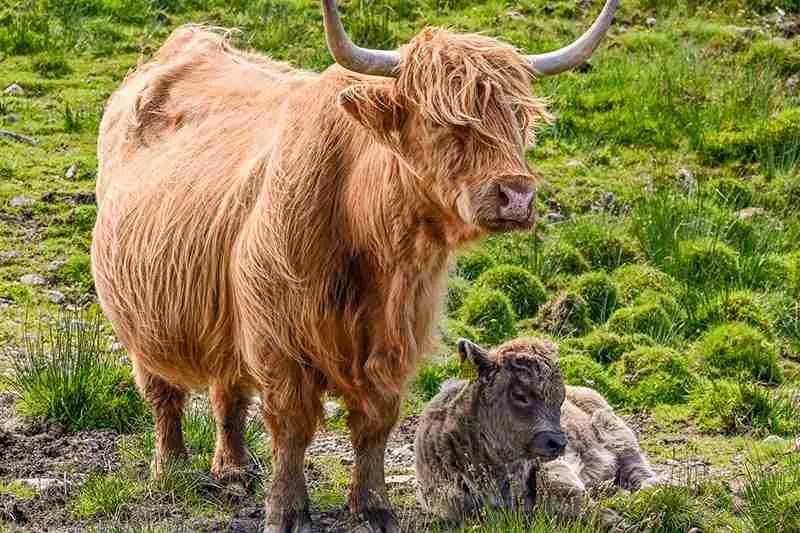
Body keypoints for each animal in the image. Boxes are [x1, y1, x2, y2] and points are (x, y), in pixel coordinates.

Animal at [91, 1, 618, 531]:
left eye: (520, 120)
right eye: (441, 121)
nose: (517, 195)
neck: (374, 244)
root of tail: (189, 39)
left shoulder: (395, 337)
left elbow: (376, 422)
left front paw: (373, 505)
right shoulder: (279, 339)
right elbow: (291, 424)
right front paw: (288, 510)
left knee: (228, 390)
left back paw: (235, 469)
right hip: (140, 311)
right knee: (164, 394)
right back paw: (171, 469)